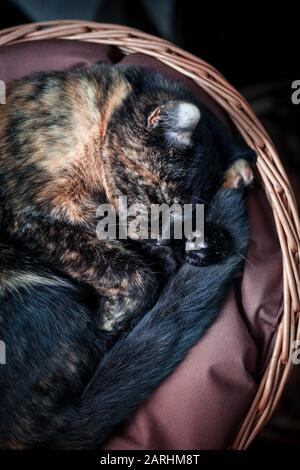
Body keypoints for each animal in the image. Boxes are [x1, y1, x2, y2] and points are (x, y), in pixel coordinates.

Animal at [0, 64, 255, 450]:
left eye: (189, 218)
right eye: (159, 197)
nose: (167, 237)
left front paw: (201, 245)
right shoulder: (36, 217)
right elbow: (128, 269)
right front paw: (114, 316)